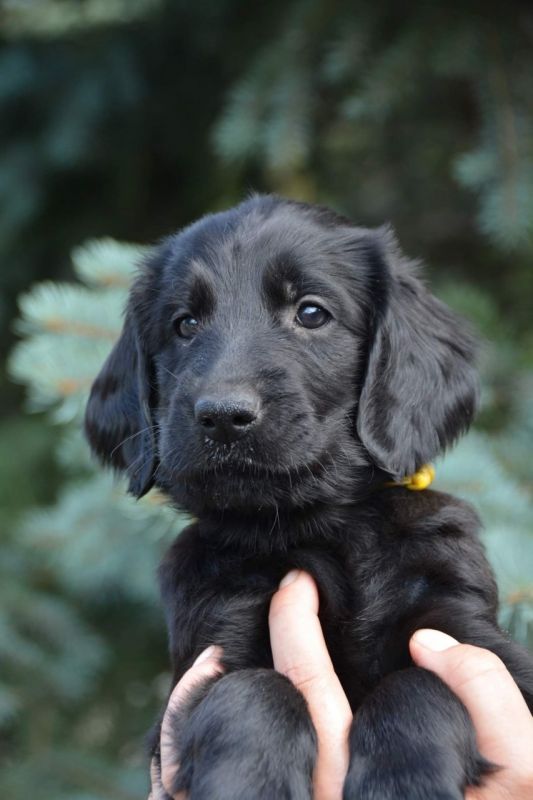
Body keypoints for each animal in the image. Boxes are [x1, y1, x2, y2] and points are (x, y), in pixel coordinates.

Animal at [85, 195, 533, 799]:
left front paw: (404, 780)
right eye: (185, 324)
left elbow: (419, 681)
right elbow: (253, 690)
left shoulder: (474, 643)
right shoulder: (203, 661)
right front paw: (247, 784)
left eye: (312, 313)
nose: (222, 415)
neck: (318, 531)